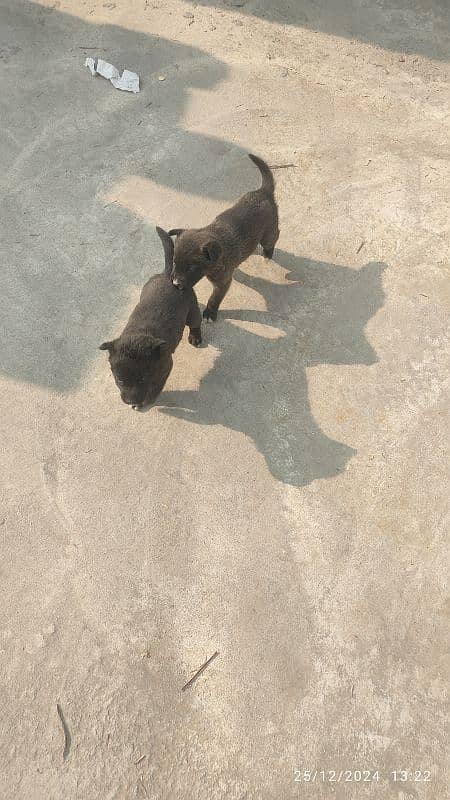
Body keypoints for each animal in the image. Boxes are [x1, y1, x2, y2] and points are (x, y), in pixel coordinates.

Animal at [100, 227, 202, 410]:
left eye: (143, 379)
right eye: (120, 380)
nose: (130, 401)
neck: (139, 334)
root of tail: (168, 275)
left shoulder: (166, 367)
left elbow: (156, 387)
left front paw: (146, 402)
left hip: (191, 311)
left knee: (196, 322)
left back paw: (196, 337)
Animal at [169, 152, 278, 318]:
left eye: (191, 268)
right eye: (174, 262)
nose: (175, 284)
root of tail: (263, 192)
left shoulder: (222, 283)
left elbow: (214, 298)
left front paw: (210, 313)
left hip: (269, 232)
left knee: (274, 238)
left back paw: (267, 254)